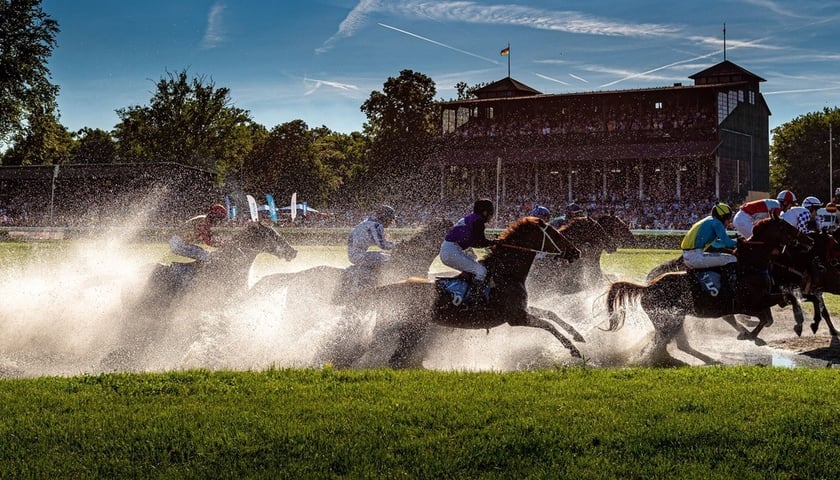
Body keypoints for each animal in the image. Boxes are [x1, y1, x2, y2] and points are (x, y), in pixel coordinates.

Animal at [608, 218, 812, 368]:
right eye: (785, 226)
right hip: (669, 319)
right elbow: (781, 304)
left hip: (674, 318)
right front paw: (795, 323)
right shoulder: (750, 303)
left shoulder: (761, 301)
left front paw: (751, 335)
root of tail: (647, 287)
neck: (751, 264)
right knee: (661, 342)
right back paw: (663, 361)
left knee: (675, 343)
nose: (809, 240)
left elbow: (769, 318)